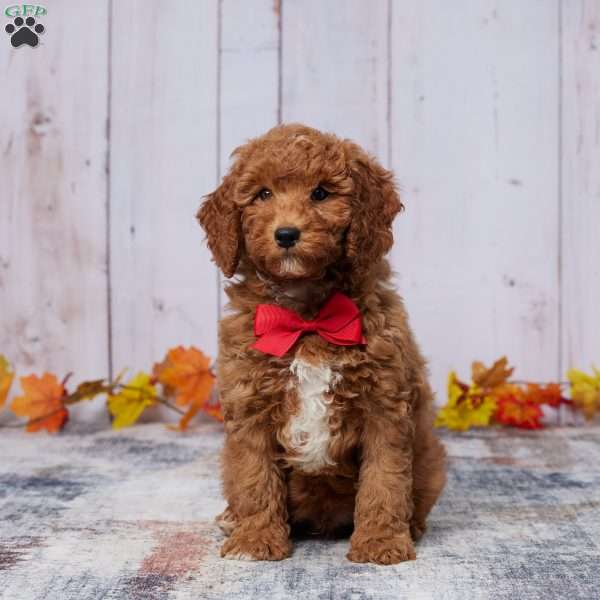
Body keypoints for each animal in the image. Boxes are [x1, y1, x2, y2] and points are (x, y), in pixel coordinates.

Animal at [197, 124, 446, 564]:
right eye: (263, 194)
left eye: (321, 193)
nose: (286, 234)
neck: (307, 317)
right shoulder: (250, 405)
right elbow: (254, 478)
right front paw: (255, 541)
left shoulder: (385, 406)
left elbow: (385, 480)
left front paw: (381, 542)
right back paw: (232, 519)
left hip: (429, 460)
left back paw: (412, 527)